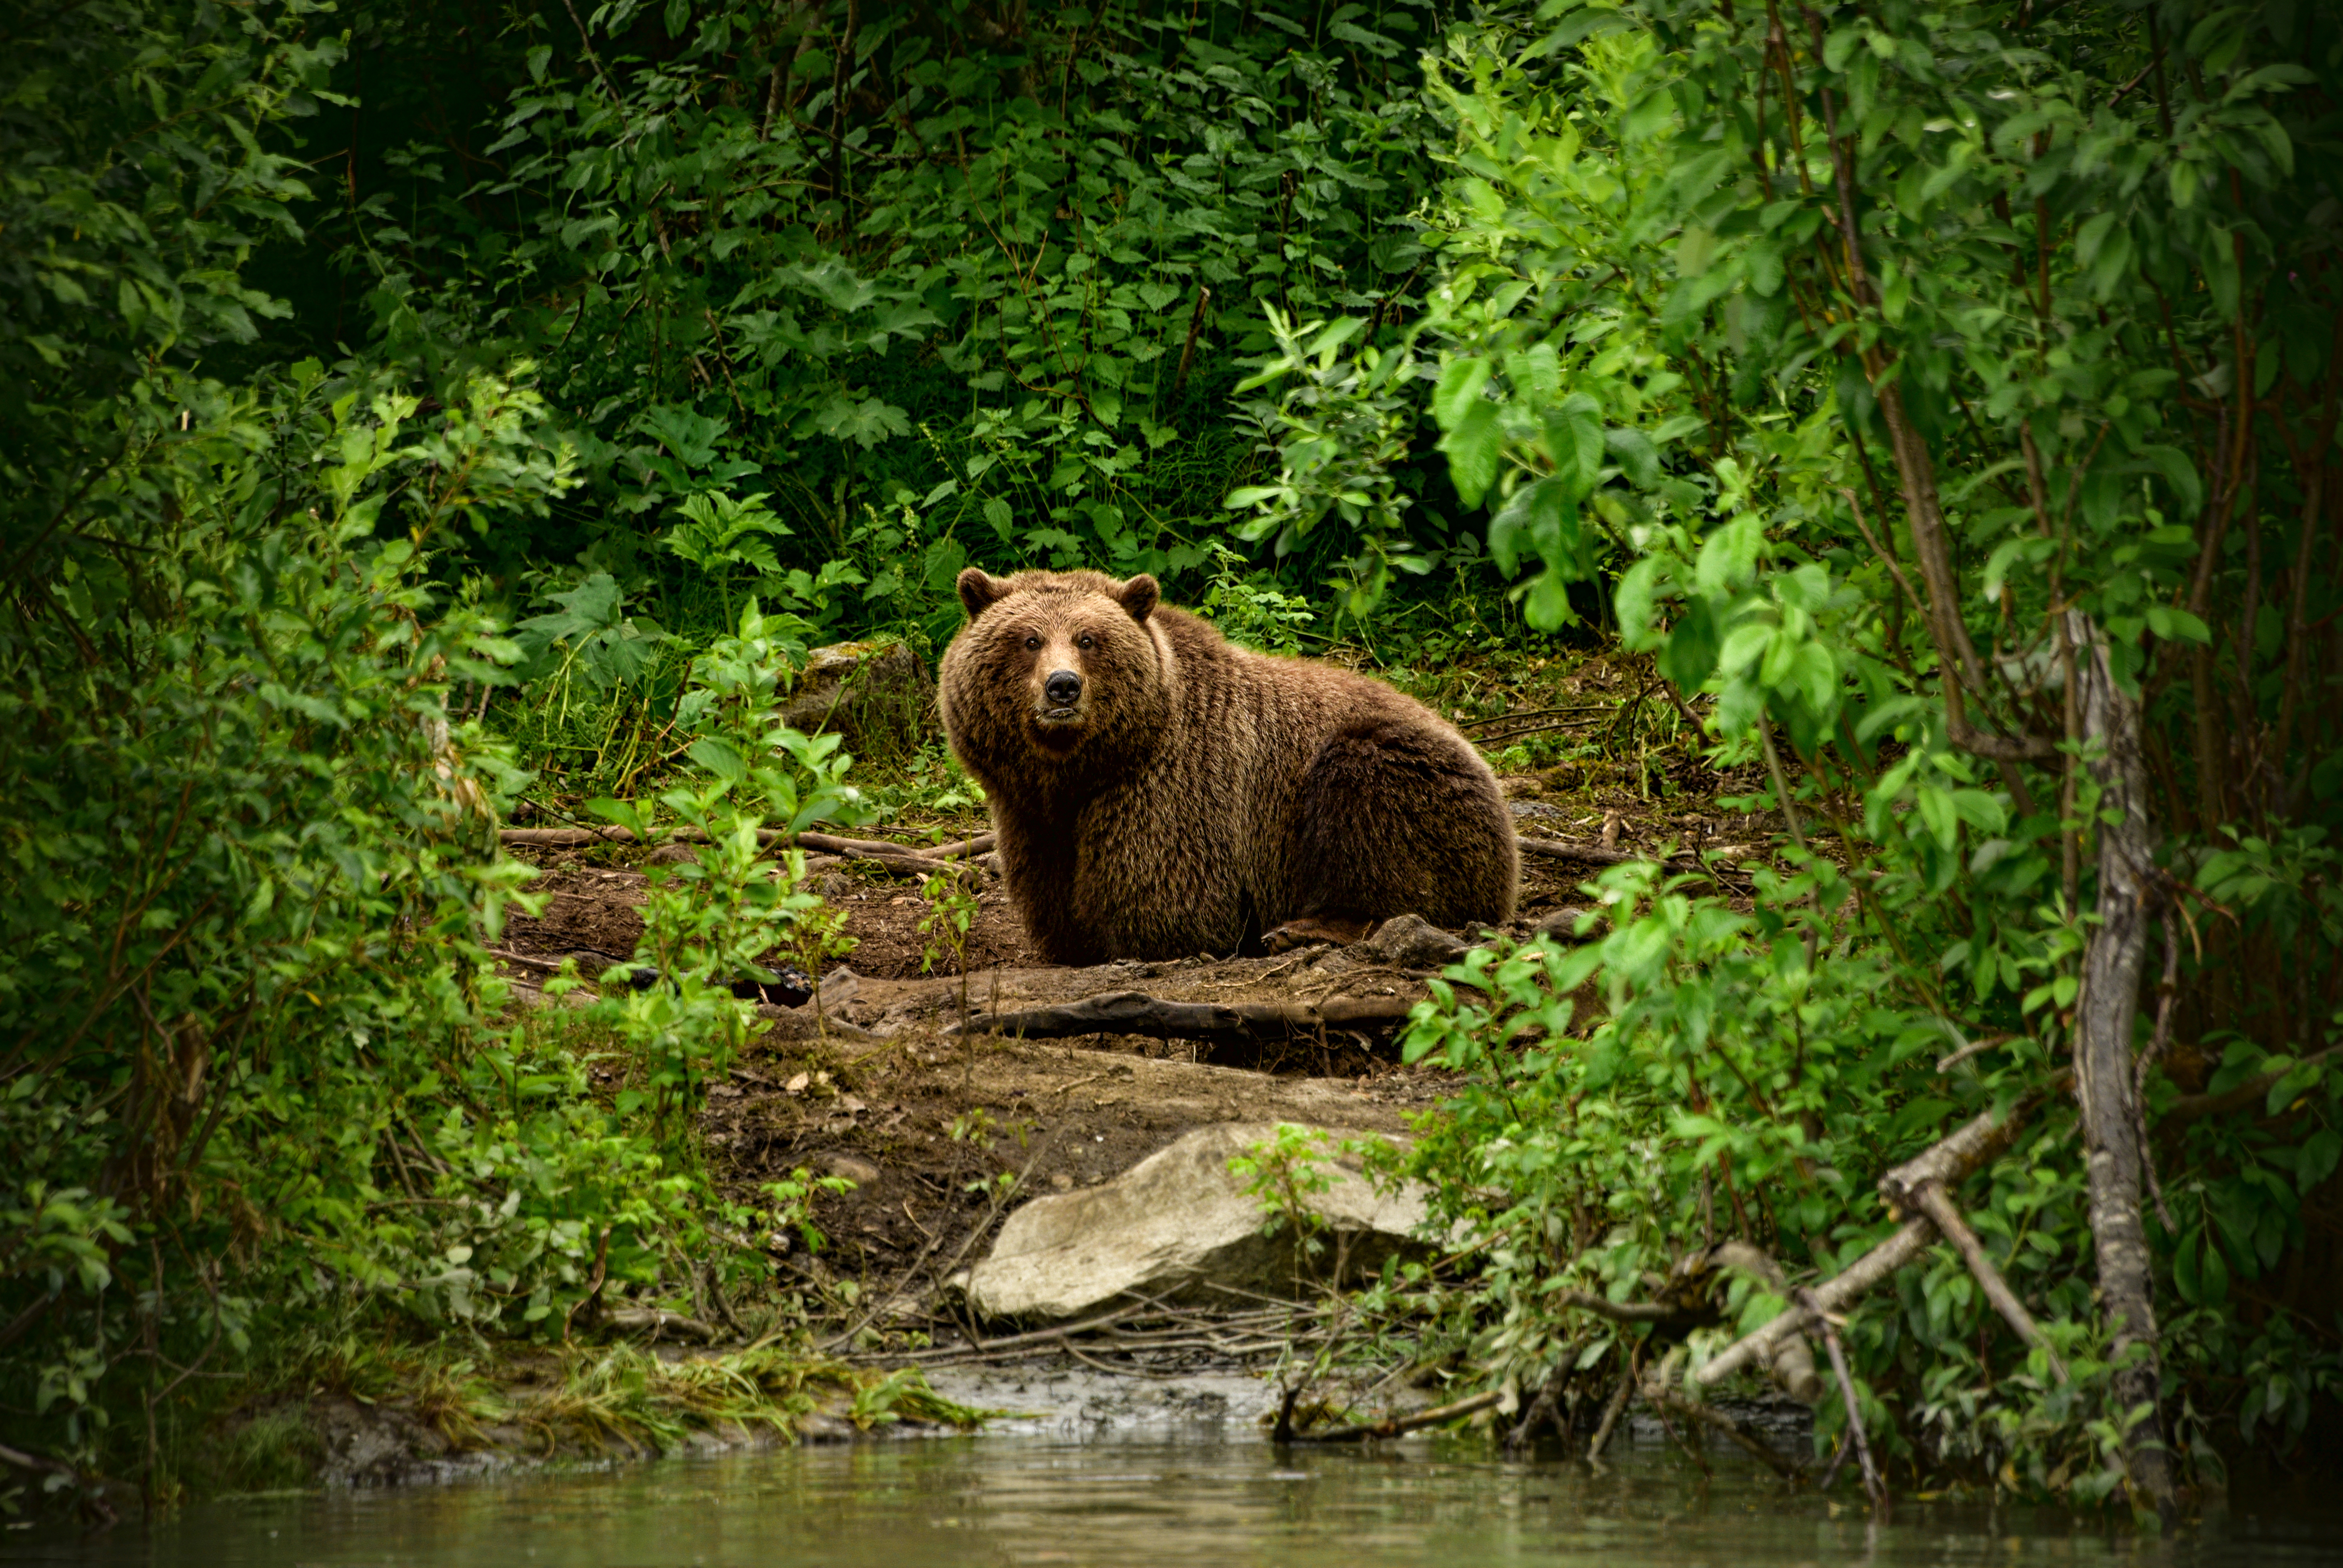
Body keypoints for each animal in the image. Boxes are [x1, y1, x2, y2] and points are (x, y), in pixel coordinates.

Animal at [937, 567, 1519, 966]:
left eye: (1088, 639)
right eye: (1029, 639)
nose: (1062, 686)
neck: (1084, 768)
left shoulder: (1176, 787)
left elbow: (1169, 899)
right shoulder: (1030, 812)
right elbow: (1051, 892)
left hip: (1407, 776)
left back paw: (1304, 928)